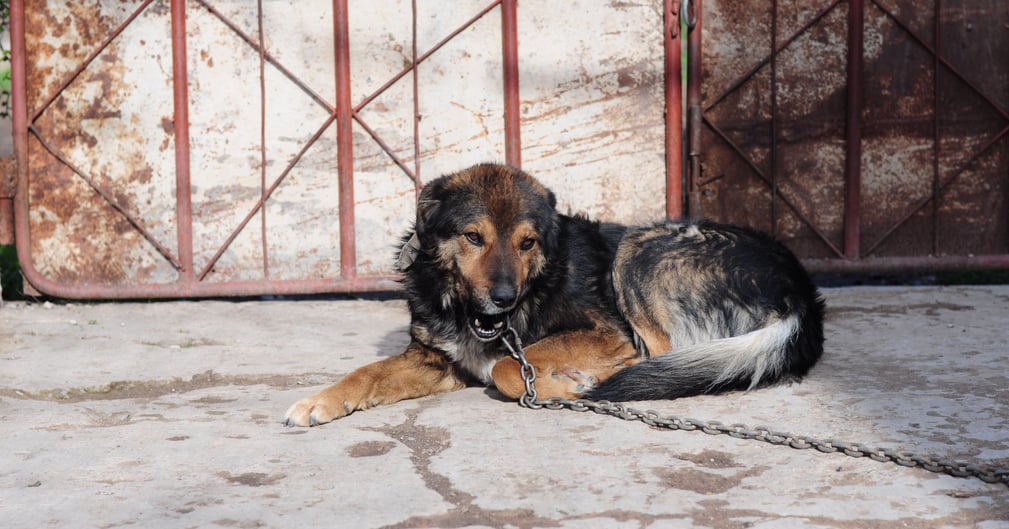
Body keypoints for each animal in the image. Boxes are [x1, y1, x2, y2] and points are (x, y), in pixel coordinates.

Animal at [280, 163, 823, 428]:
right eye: (473, 237)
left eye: (527, 243)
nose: (503, 297)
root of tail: (799, 288)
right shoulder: (437, 360)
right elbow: (366, 373)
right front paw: (320, 401)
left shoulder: (606, 333)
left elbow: (506, 368)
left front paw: (564, 386)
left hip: (637, 252)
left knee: (662, 359)